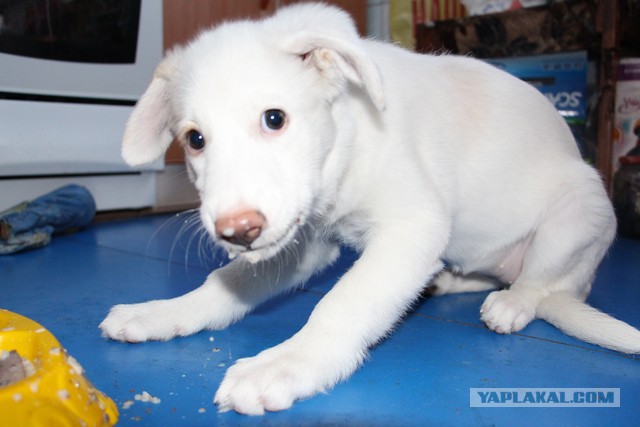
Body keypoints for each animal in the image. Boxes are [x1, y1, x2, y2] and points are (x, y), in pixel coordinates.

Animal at [100, 3, 640, 416]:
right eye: (195, 140)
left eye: (274, 118)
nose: (237, 231)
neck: (349, 133)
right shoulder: (304, 242)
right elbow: (227, 284)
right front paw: (165, 312)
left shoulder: (412, 229)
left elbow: (342, 304)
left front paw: (287, 364)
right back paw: (448, 280)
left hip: (579, 207)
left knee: (539, 282)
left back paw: (514, 302)